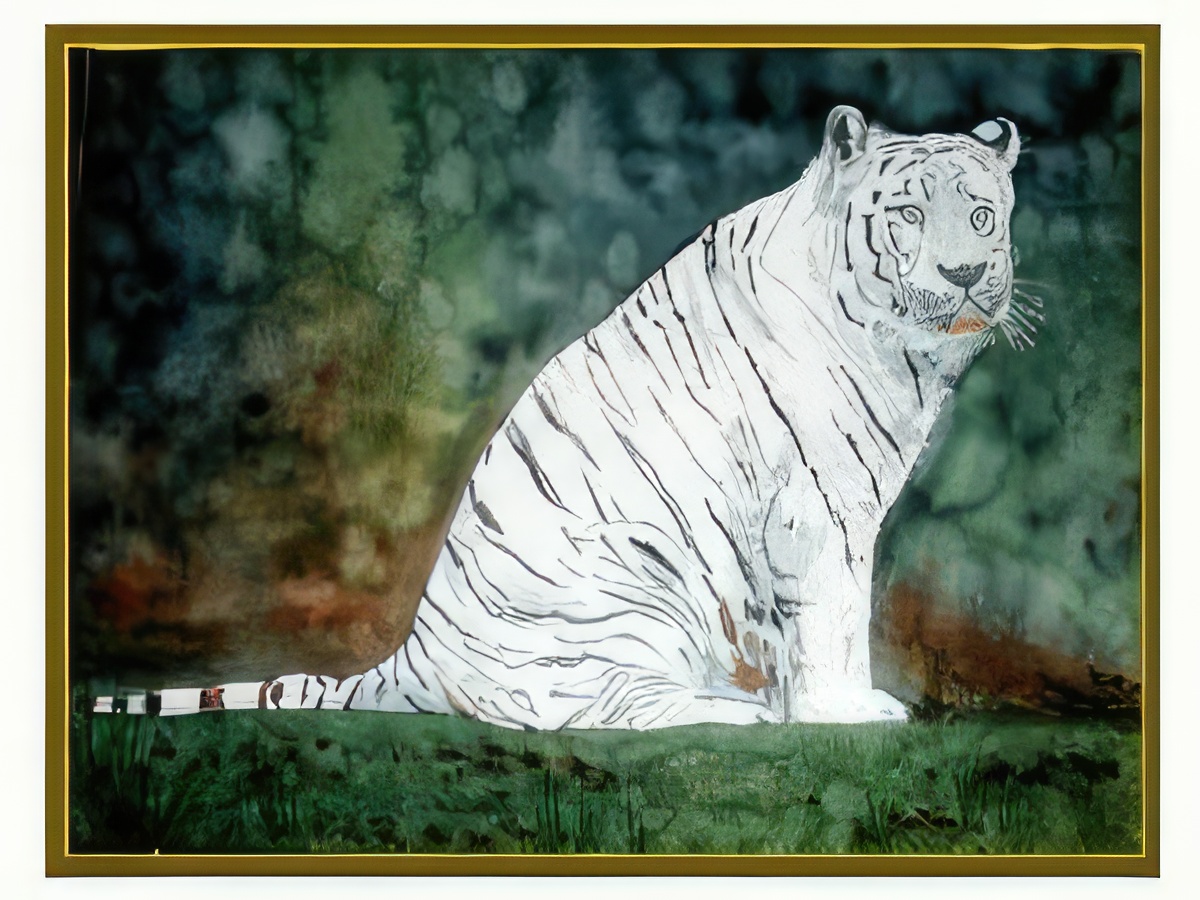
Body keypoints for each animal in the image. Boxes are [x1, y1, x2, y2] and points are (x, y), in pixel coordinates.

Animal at [97, 105, 1041, 729]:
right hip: (632, 583)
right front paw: (845, 712)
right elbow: (834, 613)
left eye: (982, 216)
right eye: (909, 214)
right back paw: (728, 711)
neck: (904, 354)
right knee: (582, 713)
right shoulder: (818, 505)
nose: (964, 276)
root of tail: (411, 660)